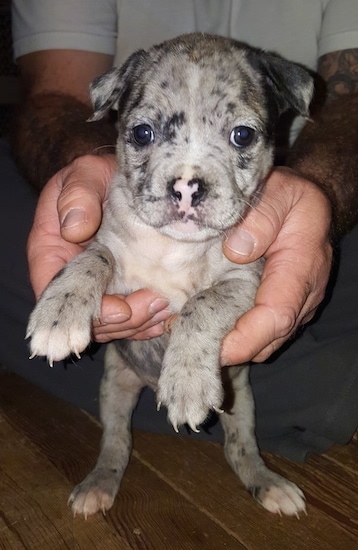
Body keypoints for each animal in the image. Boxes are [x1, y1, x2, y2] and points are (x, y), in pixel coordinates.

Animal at [27, 34, 314, 520]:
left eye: (242, 135)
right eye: (142, 133)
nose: (185, 187)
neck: (176, 247)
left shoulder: (244, 283)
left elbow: (202, 305)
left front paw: (186, 380)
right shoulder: (115, 258)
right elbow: (91, 259)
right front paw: (59, 313)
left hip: (241, 401)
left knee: (239, 448)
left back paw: (268, 484)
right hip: (114, 386)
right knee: (117, 441)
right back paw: (99, 483)